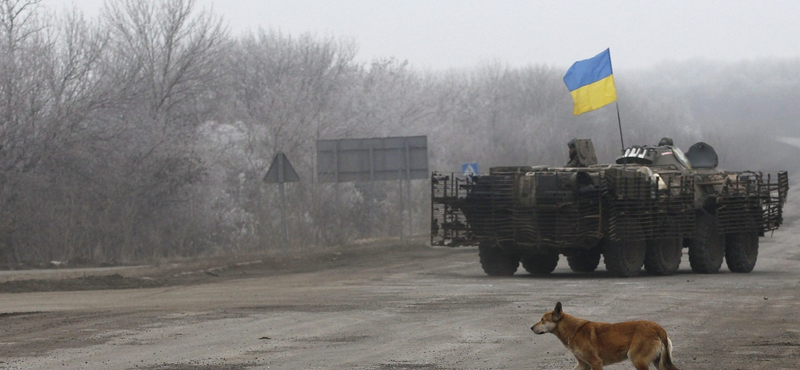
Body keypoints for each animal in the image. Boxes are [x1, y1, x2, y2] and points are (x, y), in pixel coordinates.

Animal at [536, 302, 680, 368]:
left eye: (542, 320)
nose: (532, 328)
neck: (574, 330)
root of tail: (658, 328)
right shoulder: (583, 365)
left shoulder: (595, 363)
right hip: (657, 362)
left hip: (638, 360)